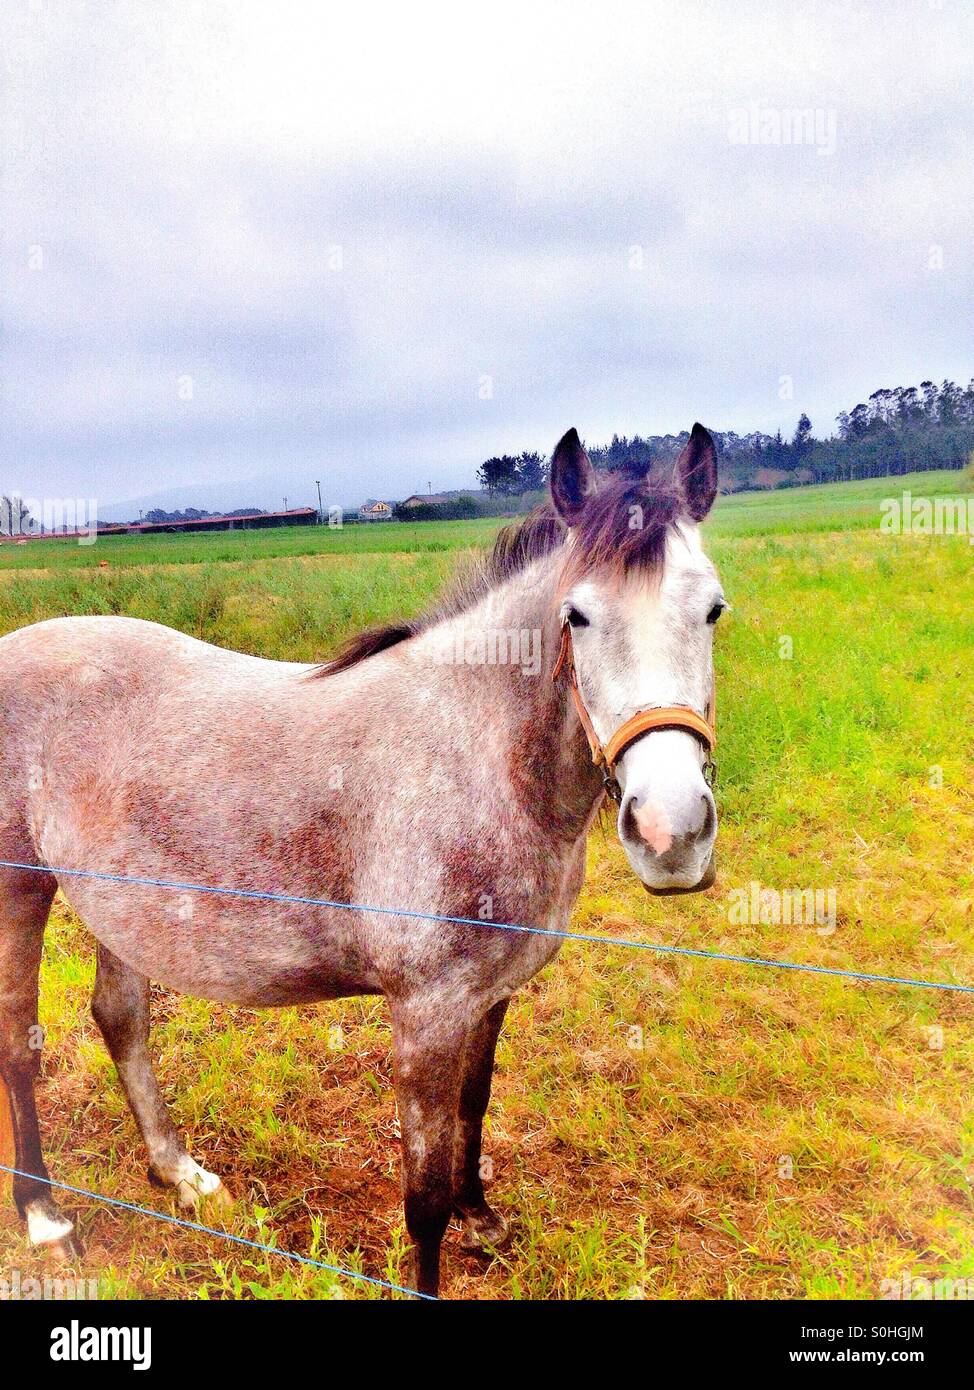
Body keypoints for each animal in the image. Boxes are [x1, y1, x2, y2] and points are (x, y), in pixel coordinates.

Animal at [0, 425, 725, 1297]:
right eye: (576, 616)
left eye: (714, 609)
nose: (670, 831)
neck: (476, 755)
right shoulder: (424, 1014)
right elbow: (423, 1193)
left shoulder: (489, 997)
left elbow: (474, 1107)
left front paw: (482, 1218)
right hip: (18, 889)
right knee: (17, 1042)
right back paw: (44, 1216)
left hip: (126, 910)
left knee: (121, 1021)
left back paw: (180, 1174)